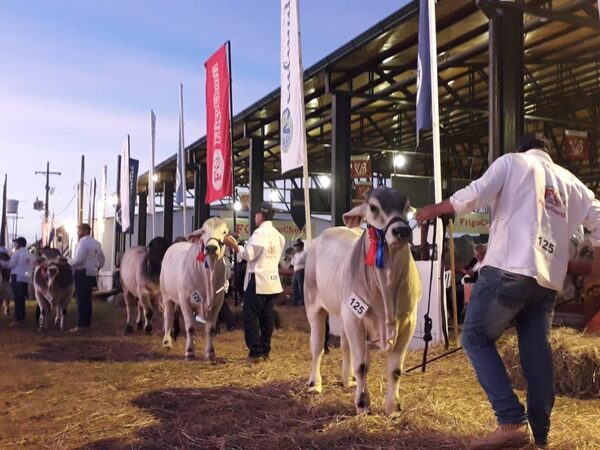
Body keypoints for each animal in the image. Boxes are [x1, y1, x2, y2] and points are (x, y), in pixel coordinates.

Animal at [159, 216, 234, 360]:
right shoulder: (185, 301)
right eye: (204, 231)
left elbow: (210, 329)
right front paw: (189, 352)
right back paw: (166, 342)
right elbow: (190, 327)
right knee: (168, 316)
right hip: (166, 296)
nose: (211, 247)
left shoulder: (218, 302)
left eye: (224, 232)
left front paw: (210, 352)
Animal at [304, 186, 422, 414]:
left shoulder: (408, 321)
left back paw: (347, 379)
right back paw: (315, 383)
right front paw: (362, 404)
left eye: (406, 207)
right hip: (313, 305)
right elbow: (362, 366)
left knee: (345, 345)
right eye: (374, 207)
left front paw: (393, 407)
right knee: (317, 346)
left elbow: (395, 370)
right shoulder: (355, 318)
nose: (402, 231)